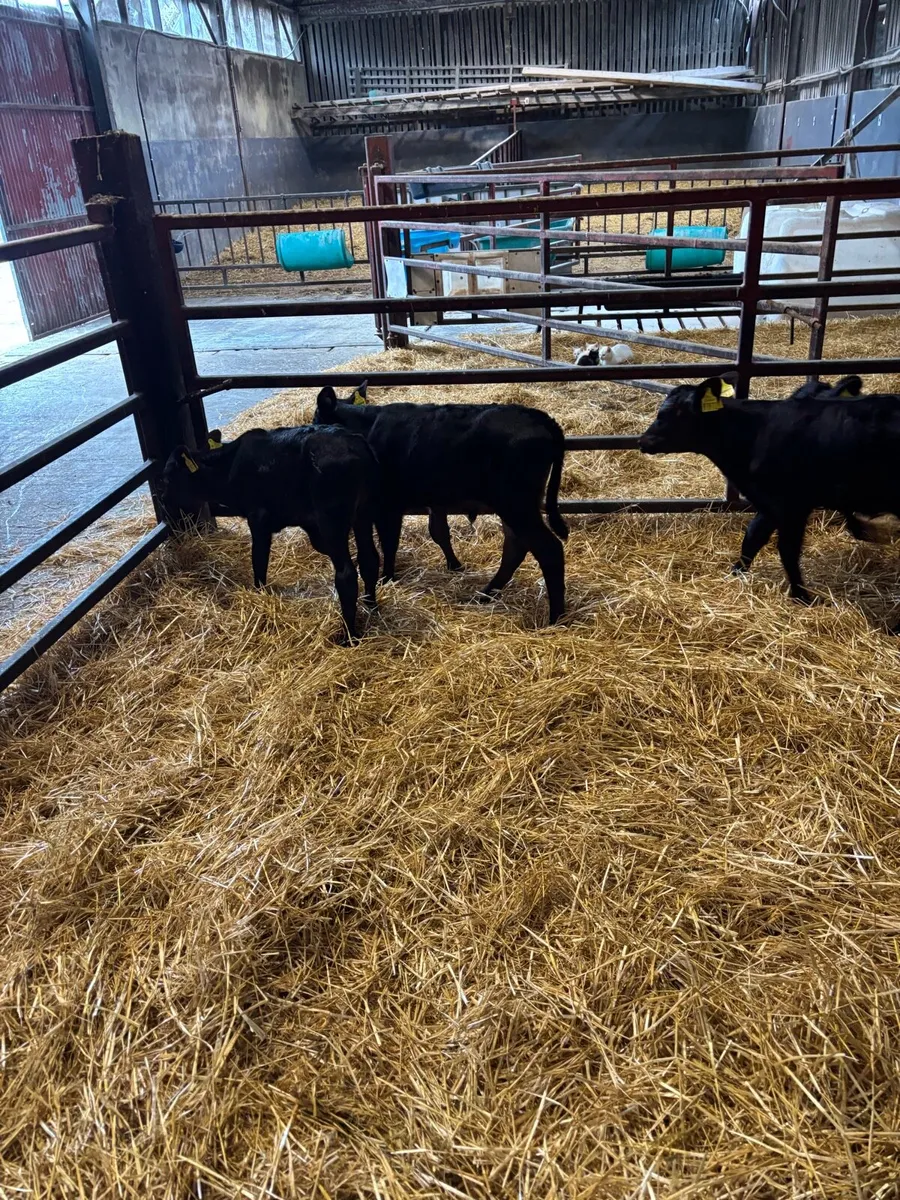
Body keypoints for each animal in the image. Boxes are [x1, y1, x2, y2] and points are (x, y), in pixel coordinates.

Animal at [162, 425, 380, 641]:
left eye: (168, 477)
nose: (162, 499)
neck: (229, 468)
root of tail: (354, 441)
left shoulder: (259, 518)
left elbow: (259, 561)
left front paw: (259, 596)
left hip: (332, 521)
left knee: (346, 575)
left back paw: (348, 637)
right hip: (364, 512)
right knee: (369, 559)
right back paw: (371, 606)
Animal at [313, 383, 569, 624]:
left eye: (316, 418)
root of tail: (542, 418)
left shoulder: (388, 506)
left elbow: (390, 543)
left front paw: (387, 578)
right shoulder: (431, 503)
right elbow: (438, 532)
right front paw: (454, 565)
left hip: (516, 503)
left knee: (549, 549)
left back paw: (555, 618)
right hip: (514, 506)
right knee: (515, 547)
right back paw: (485, 594)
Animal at [637, 374, 900, 608]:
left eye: (672, 414)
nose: (642, 440)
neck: (754, 434)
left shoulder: (793, 506)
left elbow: (787, 550)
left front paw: (802, 596)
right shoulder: (769, 502)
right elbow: (752, 537)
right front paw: (736, 573)